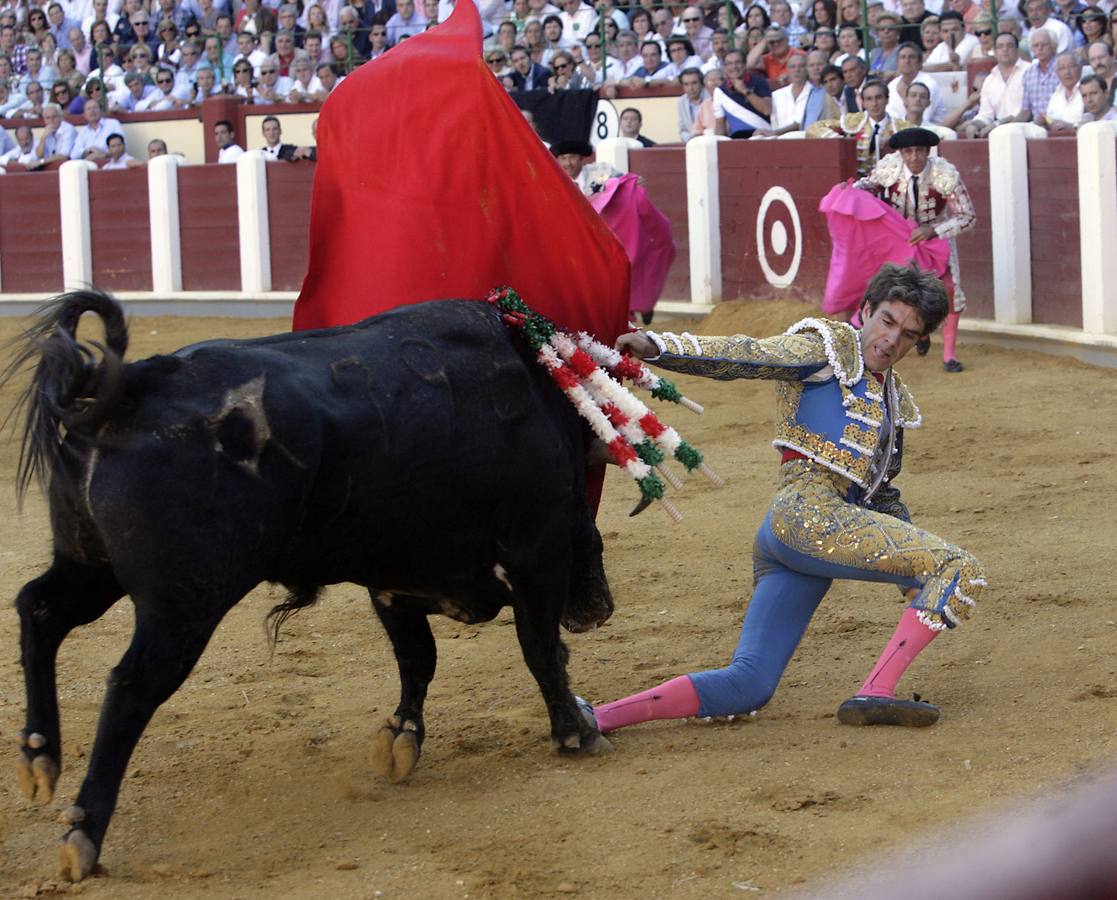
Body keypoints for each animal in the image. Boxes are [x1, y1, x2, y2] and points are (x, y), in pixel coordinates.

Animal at [4, 292, 616, 884]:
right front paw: (575, 732)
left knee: (40, 610)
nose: (600, 607)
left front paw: (401, 736)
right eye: (591, 532)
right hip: (184, 601)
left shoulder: (389, 579)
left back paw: (38, 757)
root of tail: (130, 386)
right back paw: (82, 833)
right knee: (131, 685)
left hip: (89, 564)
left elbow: (418, 659)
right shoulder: (535, 554)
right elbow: (539, 651)